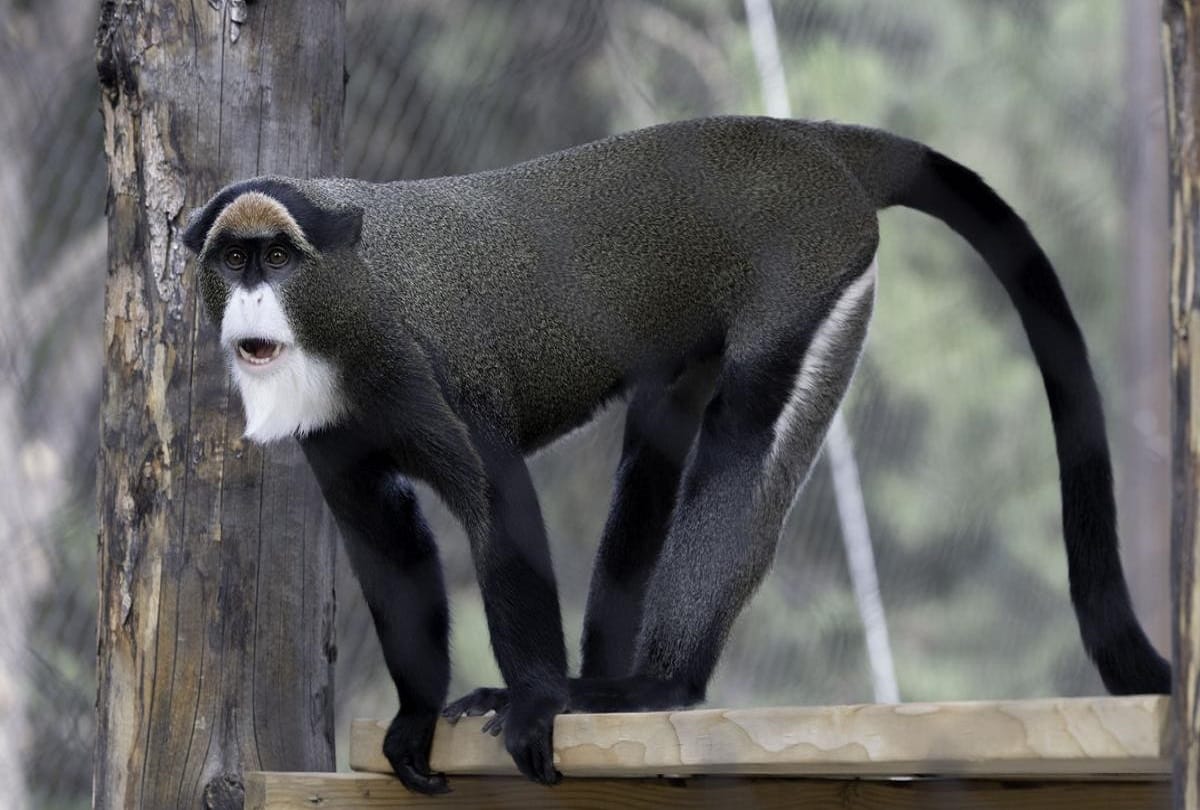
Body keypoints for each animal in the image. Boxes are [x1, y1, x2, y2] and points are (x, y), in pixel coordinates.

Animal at [182, 116, 1170, 794]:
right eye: (233, 261)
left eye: (277, 258)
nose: (252, 301)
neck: (346, 306)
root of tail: (813, 139)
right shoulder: (339, 438)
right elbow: (388, 542)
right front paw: (420, 714)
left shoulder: (434, 373)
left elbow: (500, 505)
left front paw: (532, 701)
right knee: (650, 465)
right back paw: (612, 683)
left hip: (809, 278)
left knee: (743, 444)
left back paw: (655, 686)